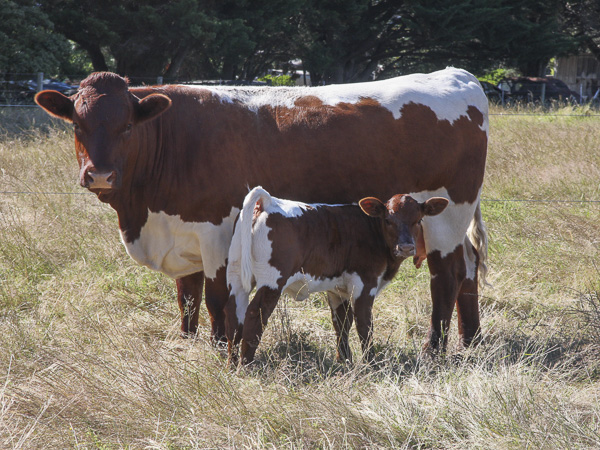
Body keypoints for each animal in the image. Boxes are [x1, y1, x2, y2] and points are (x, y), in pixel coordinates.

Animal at [226, 186, 450, 366]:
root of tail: (267, 201)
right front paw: (370, 363)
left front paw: (344, 361)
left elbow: (342, 323)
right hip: (272, 281)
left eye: (419, 220)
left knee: (234, 316)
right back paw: (245, 366)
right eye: (388, 220)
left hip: (236, 277)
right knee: (255, 314)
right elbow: (364, 325)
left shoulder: (337, 289)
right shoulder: (365, 284)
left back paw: (232, 363)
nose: (406, 247)